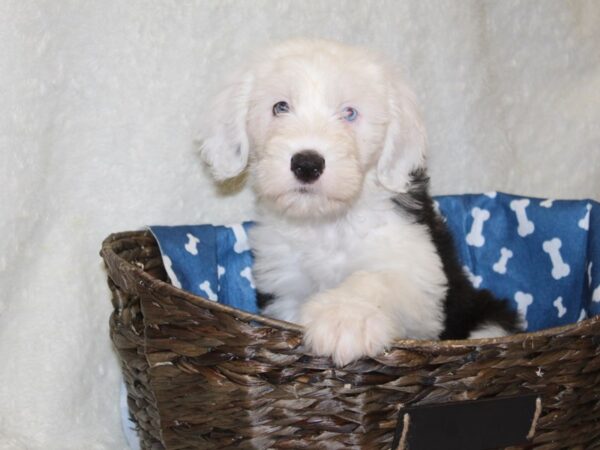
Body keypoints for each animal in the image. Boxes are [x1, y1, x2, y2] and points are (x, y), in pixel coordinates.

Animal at [202, 39, 520, 366]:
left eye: (350, 113)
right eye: (280, 107)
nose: (307, 164)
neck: (326, 222)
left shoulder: (418, 268)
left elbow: (376, 279)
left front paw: (343, 319)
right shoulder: (285, 287)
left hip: (486, 315)